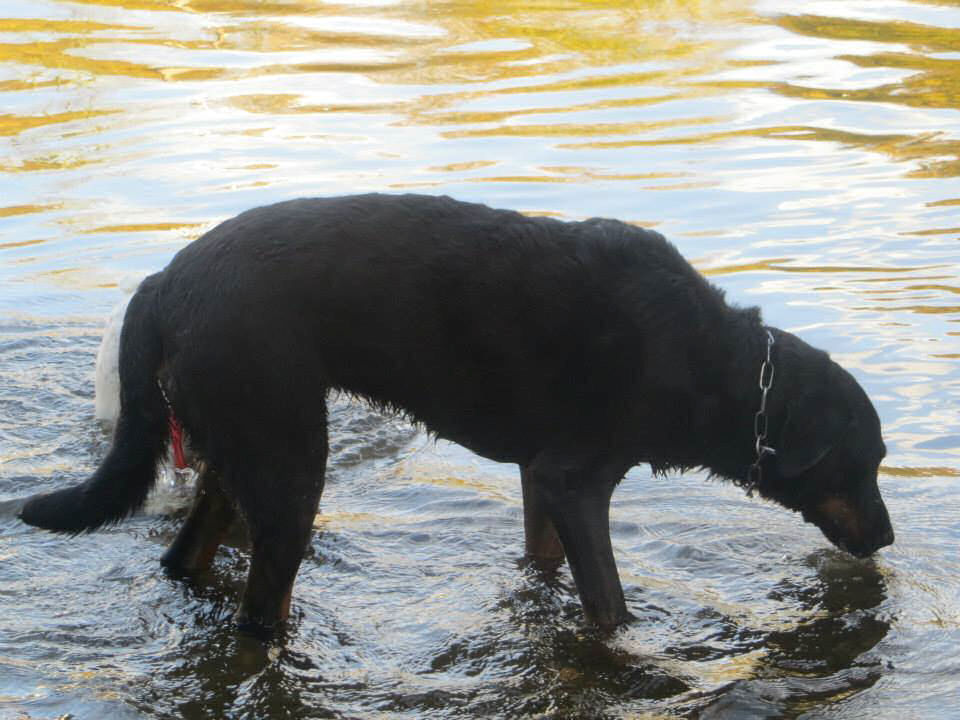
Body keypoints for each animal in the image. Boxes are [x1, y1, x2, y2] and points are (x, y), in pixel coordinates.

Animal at [20, 194, 892, 632]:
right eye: (868, 461)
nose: (887, 538)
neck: (718, 367)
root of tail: (162, 284)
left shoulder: (542, 481)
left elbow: (544, 563)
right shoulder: (576, 481)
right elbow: (610, 607)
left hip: (241, 455)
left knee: (186, 555)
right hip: (290, 466)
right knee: (260, 615)